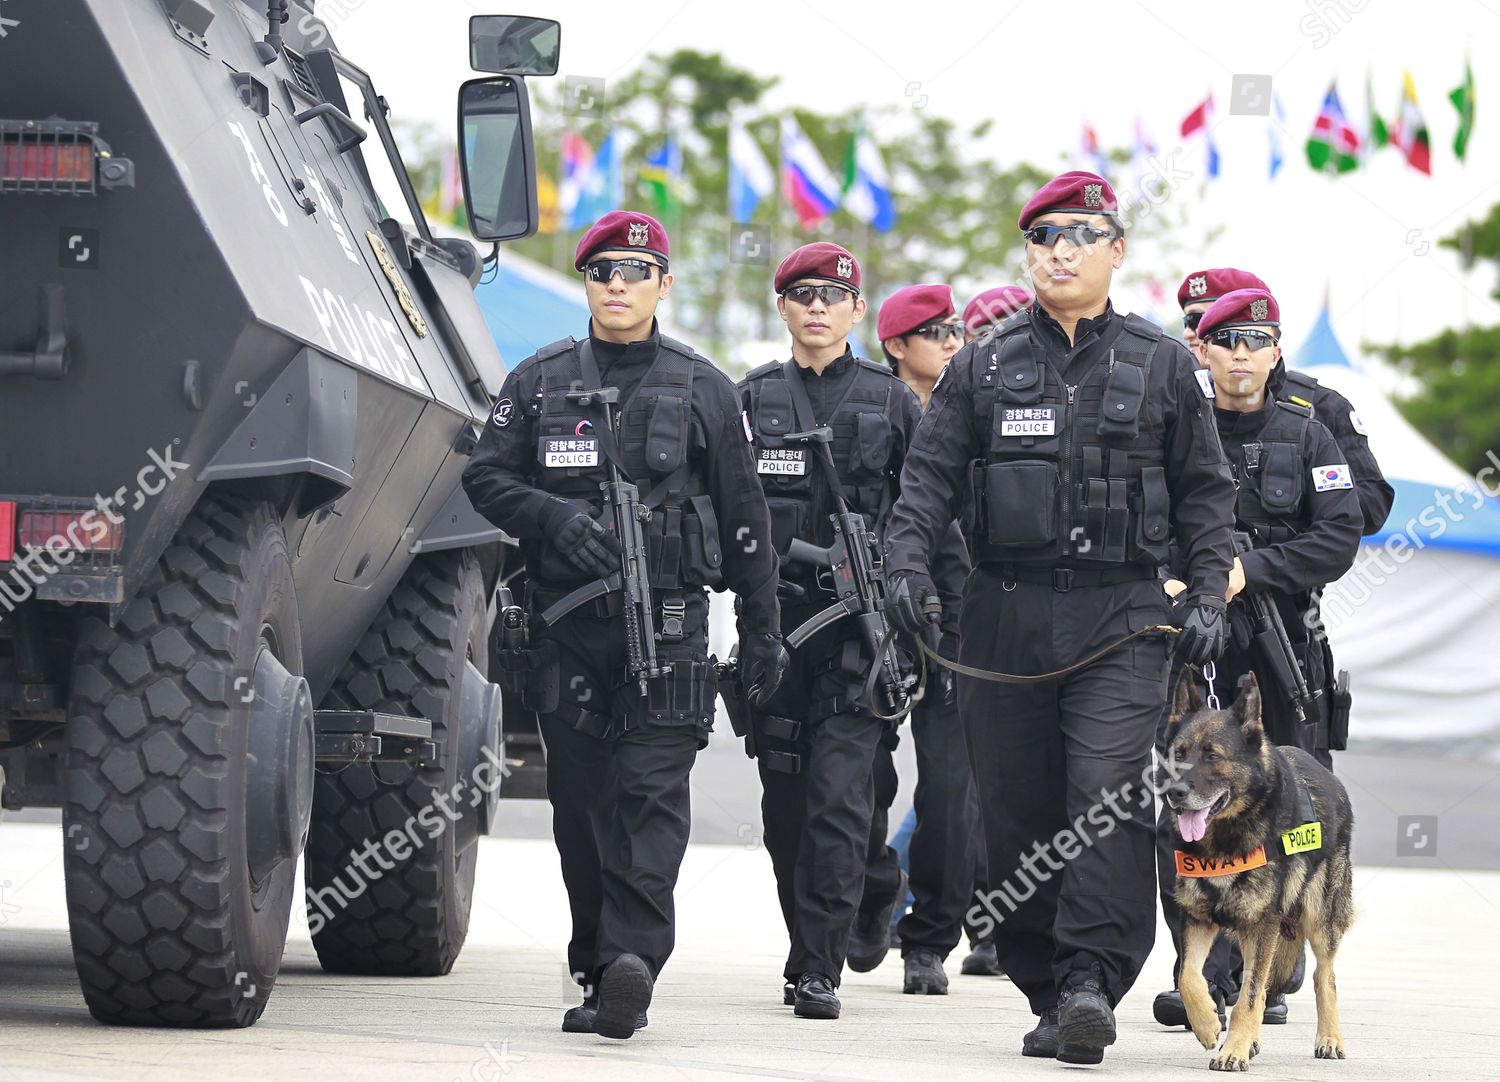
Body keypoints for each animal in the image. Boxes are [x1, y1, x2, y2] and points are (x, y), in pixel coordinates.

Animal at [1164, 672, 1356, 1068]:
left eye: (1212, 756)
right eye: (1179, 754)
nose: (1174, 794)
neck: (1225, 839)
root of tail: (1332, 779)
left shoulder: (1262, 924)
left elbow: (1250, 995)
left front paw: (1233, 1048)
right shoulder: (1198, 917)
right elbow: (1190, 975)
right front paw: (1207, 1024)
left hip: (1319, 918)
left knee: (1323, 975)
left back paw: (1329, 1038)